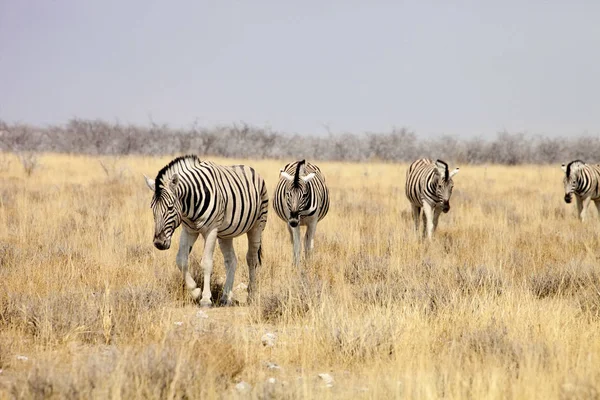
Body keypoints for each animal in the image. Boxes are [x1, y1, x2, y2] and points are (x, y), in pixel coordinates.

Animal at [143, 155, 268, 306]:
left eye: (170, 207)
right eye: (152, 208)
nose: (159, 243)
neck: (190, 204)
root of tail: (248, 168)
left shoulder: (211, 230)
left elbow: (206, 263)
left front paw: (206, 299)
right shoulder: (188, 231)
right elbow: (181, 260)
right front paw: (195, 291)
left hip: (257, 225)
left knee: (252, 259)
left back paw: (252, 295)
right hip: (226, 233)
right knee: (231, 260)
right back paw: (226, 297)